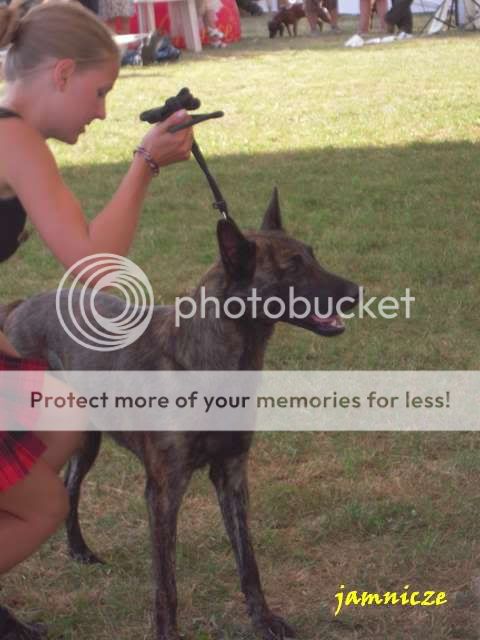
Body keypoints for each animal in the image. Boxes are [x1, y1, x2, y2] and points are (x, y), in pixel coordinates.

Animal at [2, 189, 359, 640]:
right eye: (293, 267)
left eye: (313, 255)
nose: (357, 291)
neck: (206, 359)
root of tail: (20, 306)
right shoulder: (163, 491)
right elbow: (166, 585)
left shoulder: (231, 475)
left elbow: (248, 562)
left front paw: (264, 619)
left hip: (86, 439)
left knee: (70, 486)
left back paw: (79, 551)